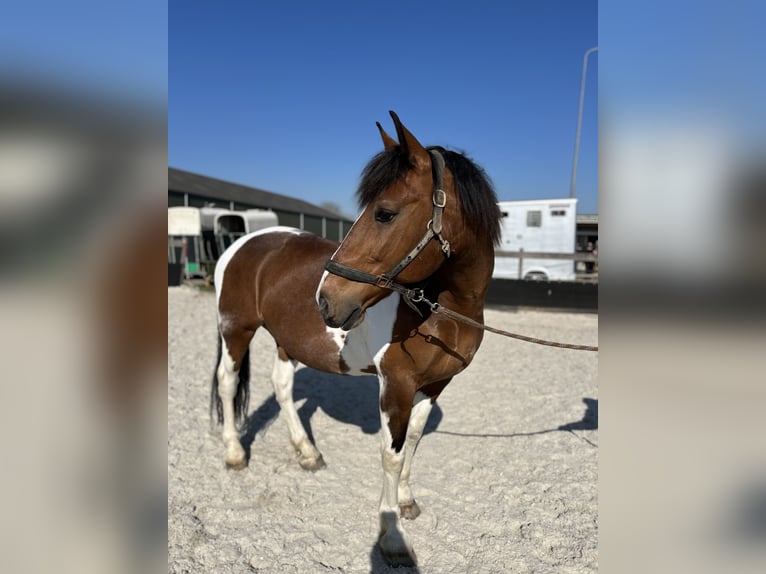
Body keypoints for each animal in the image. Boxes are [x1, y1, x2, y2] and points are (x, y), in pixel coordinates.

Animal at [212, 111, 504, 568]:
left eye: (384, 213)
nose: (326, 299)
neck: (440, 309)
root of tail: (243, 242)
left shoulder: (435, 385)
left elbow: (413, 443)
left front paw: (406, 502)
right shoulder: (395, 386)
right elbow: (391, 454)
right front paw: (393, 537)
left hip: (285, 340)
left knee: (282, 387)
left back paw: (307, 453)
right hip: (235, 329)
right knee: (227, 383)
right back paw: (235, 454)